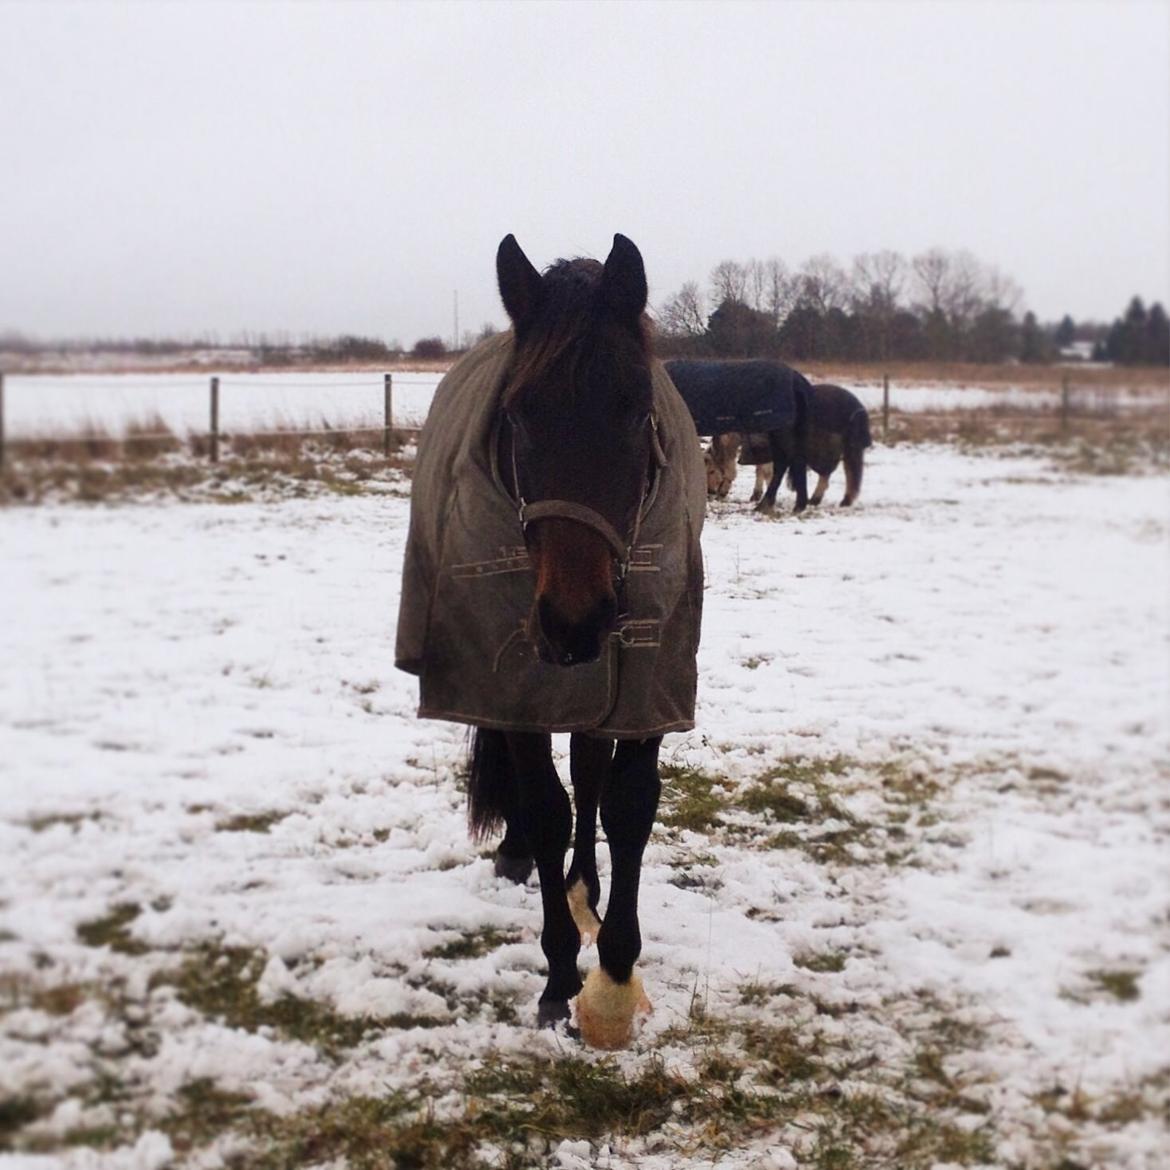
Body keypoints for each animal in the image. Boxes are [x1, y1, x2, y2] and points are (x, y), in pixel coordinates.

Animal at [393, 235, 702, 1053]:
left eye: (635, 410)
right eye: (519, 415)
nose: (574, 620)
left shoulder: (646, 683)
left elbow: (625, 804)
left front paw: (616, 974)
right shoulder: (515, 690)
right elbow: (545, 809)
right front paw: (562, 979)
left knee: (590, 773)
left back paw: (583, 885)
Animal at [734, 383, 875, 507]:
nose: (741, 460)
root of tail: (859, 408)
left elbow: (768, 470)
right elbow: (762, 470)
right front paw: (757, 496)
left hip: (845, 447)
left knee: (844, 472)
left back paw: (833, 501)